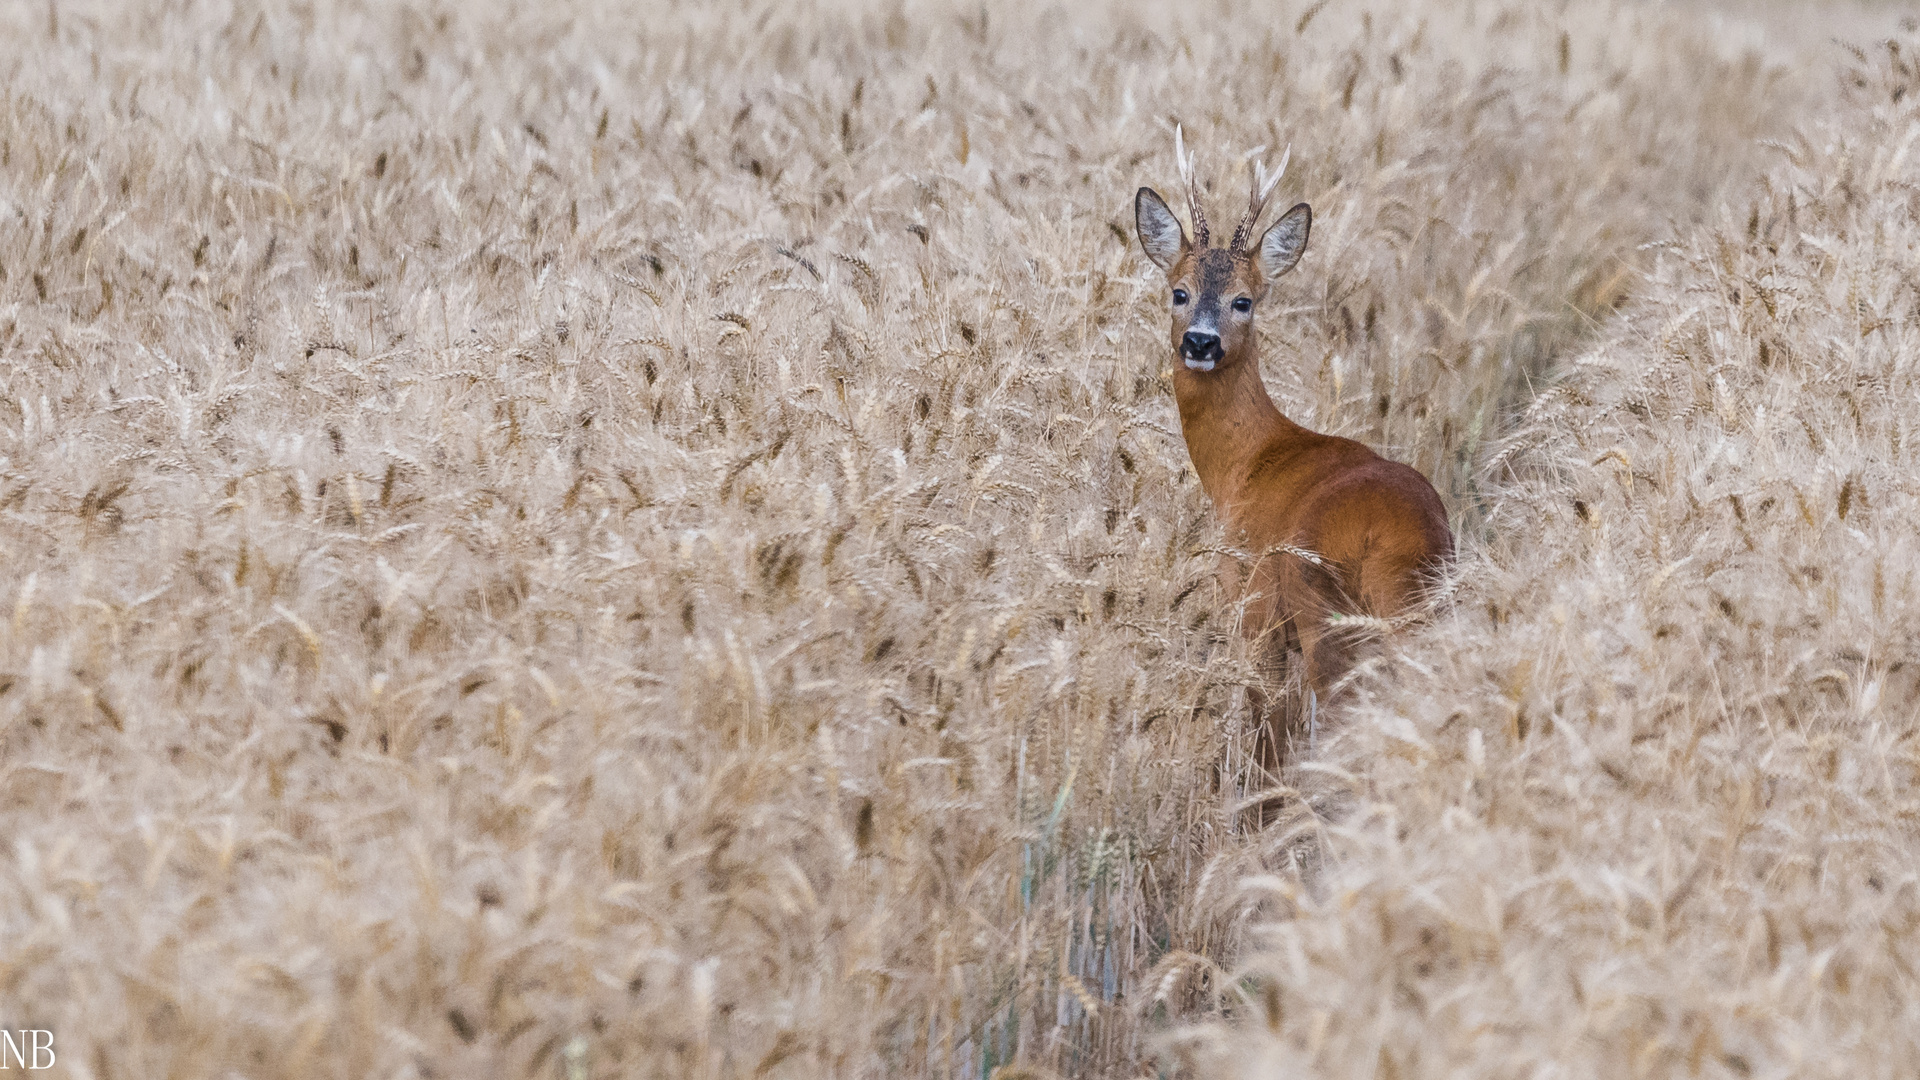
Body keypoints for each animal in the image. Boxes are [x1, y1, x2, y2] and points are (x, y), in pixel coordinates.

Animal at [1128, 130, 1443, 768]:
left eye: (1243, 300)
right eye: (1179, 292)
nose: (1201, 342)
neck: (1246, 463)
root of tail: (1396, 537)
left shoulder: (1251, 608)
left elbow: (1264, 731)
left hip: (1321, 608)